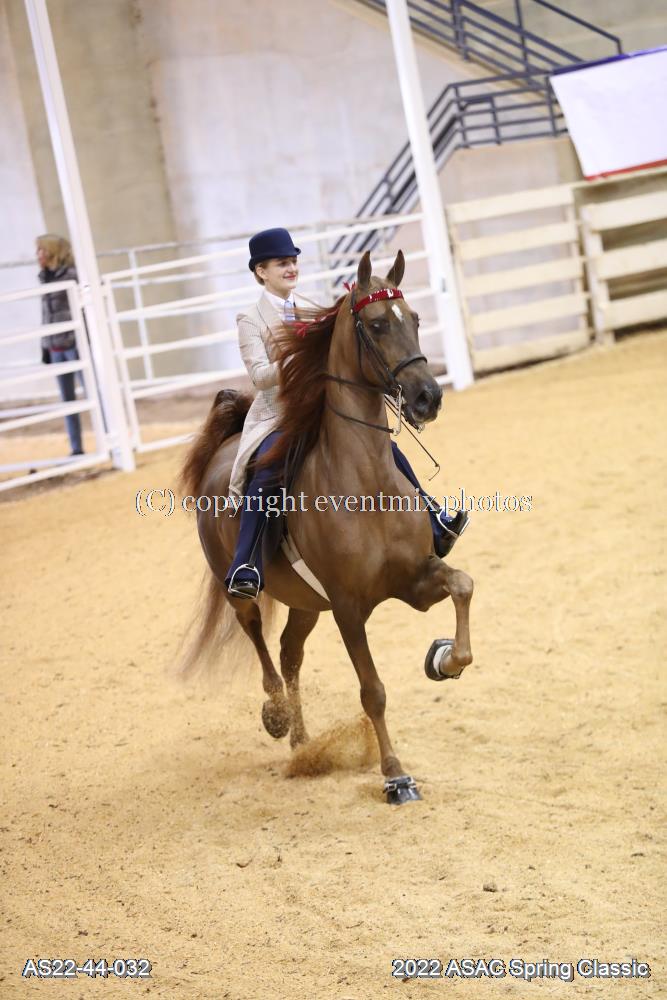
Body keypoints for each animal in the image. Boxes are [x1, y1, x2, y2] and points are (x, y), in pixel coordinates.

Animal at [180, 250, 473, 804]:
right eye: (377, 324)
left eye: (415, 319)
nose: (428, 397)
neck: (366, 484)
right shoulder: (347, 607)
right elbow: (372, 690)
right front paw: (395, 775)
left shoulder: (414, 579)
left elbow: (462, 585)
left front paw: (444, 658)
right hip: (244, 589)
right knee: (257, 637)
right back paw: (276, 716)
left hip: (305, 602)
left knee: (289, 652)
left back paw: (302, 744)